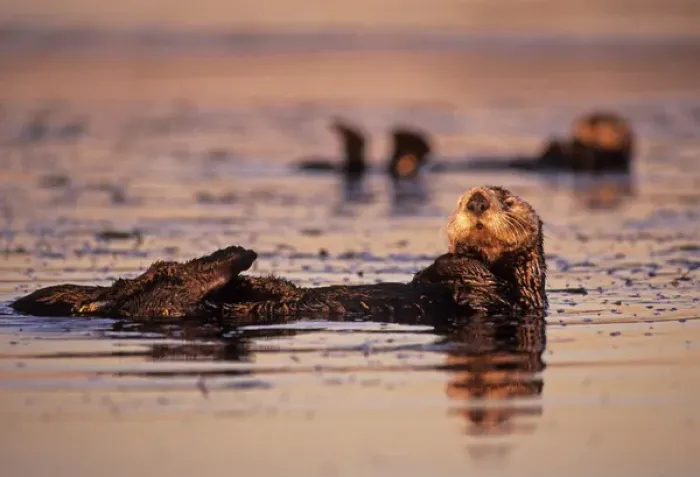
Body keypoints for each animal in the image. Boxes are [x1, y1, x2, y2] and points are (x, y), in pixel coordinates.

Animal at [11, 186, 547, 325]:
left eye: (506, 199)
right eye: (461, 199)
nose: (475, 199)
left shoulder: (513, 303)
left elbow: (483, 292)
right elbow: (439, 275)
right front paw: (444, 262)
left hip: (171, 303)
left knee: (160, 298)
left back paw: (229, 256)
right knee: (149, 289)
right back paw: (232, 255)